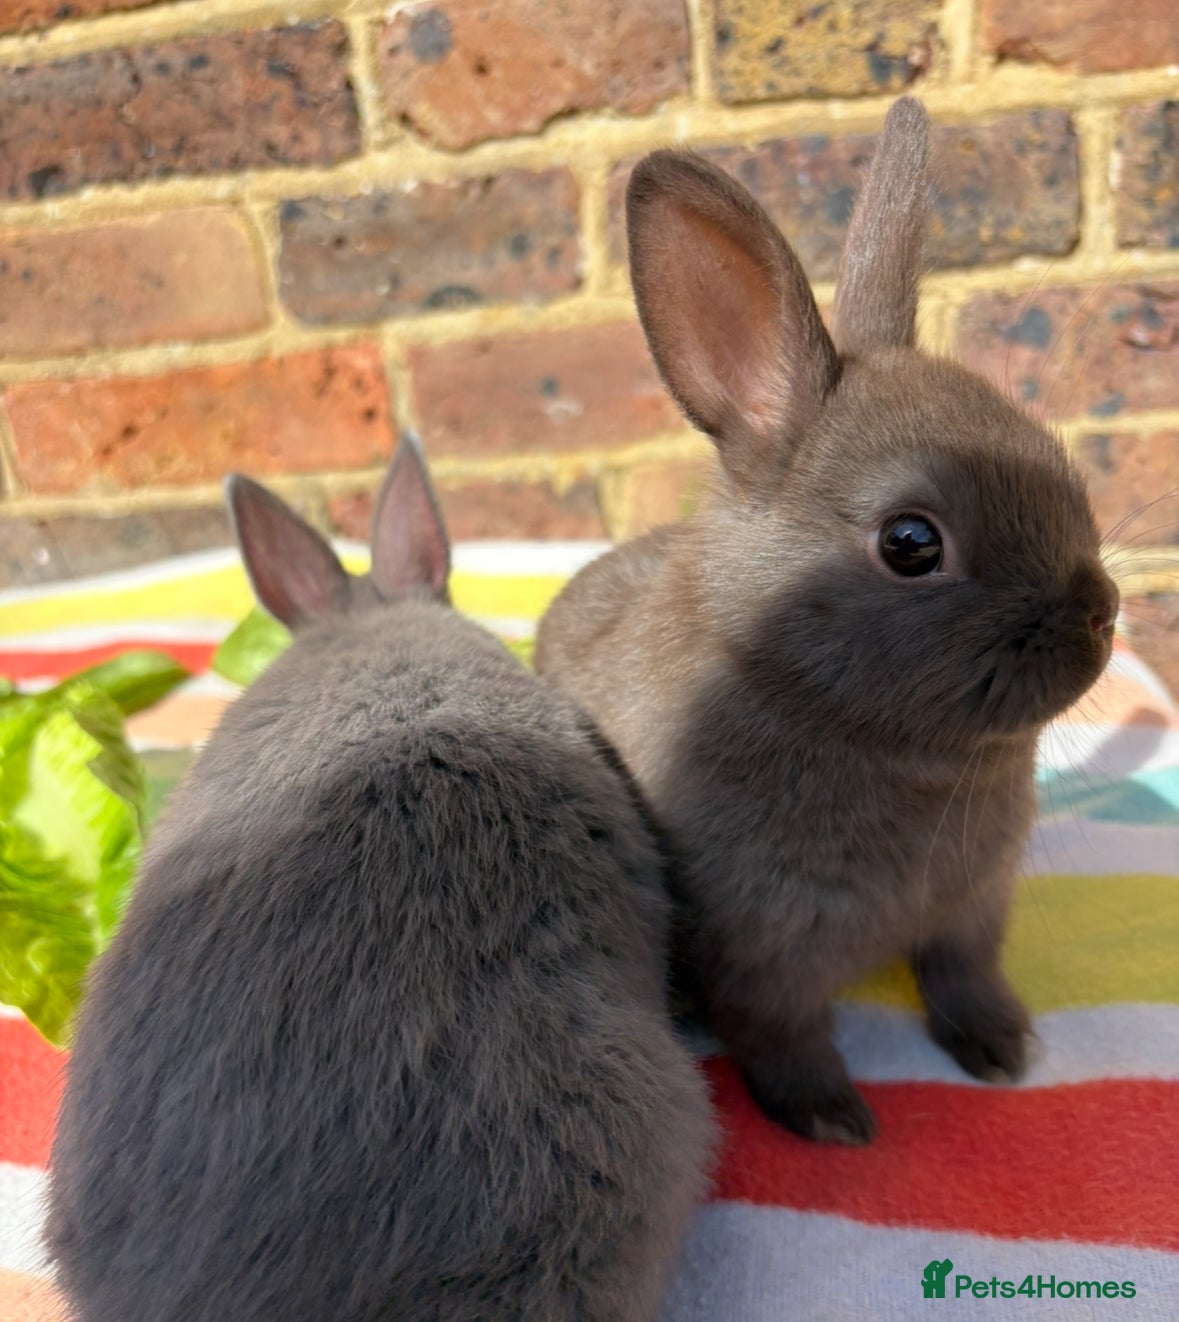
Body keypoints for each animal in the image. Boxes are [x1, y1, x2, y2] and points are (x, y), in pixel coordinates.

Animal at [535, 96, 1119, 1146]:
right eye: (910, 543)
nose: (1100, 617)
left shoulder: (971, 911)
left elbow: (964, 977)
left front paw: (1003, 1051)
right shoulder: (762, 946)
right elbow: (783, 1035)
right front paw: (834, 1121)